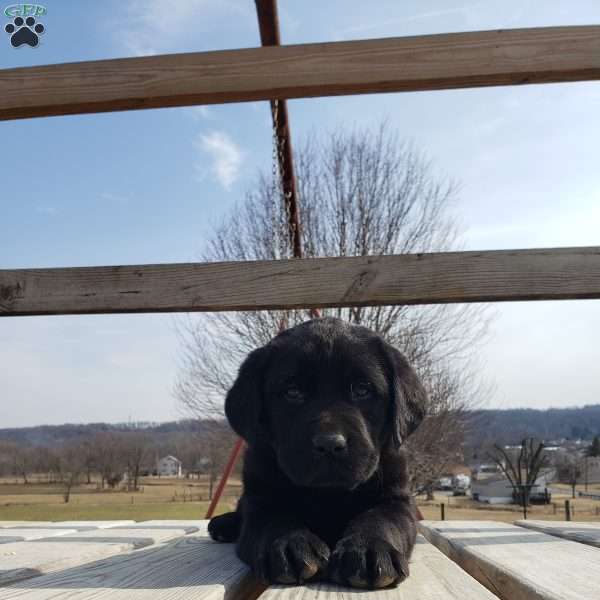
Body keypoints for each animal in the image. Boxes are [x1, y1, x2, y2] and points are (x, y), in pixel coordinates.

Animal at [209, 316, 424, 588]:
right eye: (292, 392)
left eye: (362, 390)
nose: (330, 444)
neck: (327, 493)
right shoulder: (259, 497)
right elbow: (273, 519)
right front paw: (290, 546)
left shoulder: (396, 498)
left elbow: (382, 519)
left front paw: (368, 550)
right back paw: (223, 524)